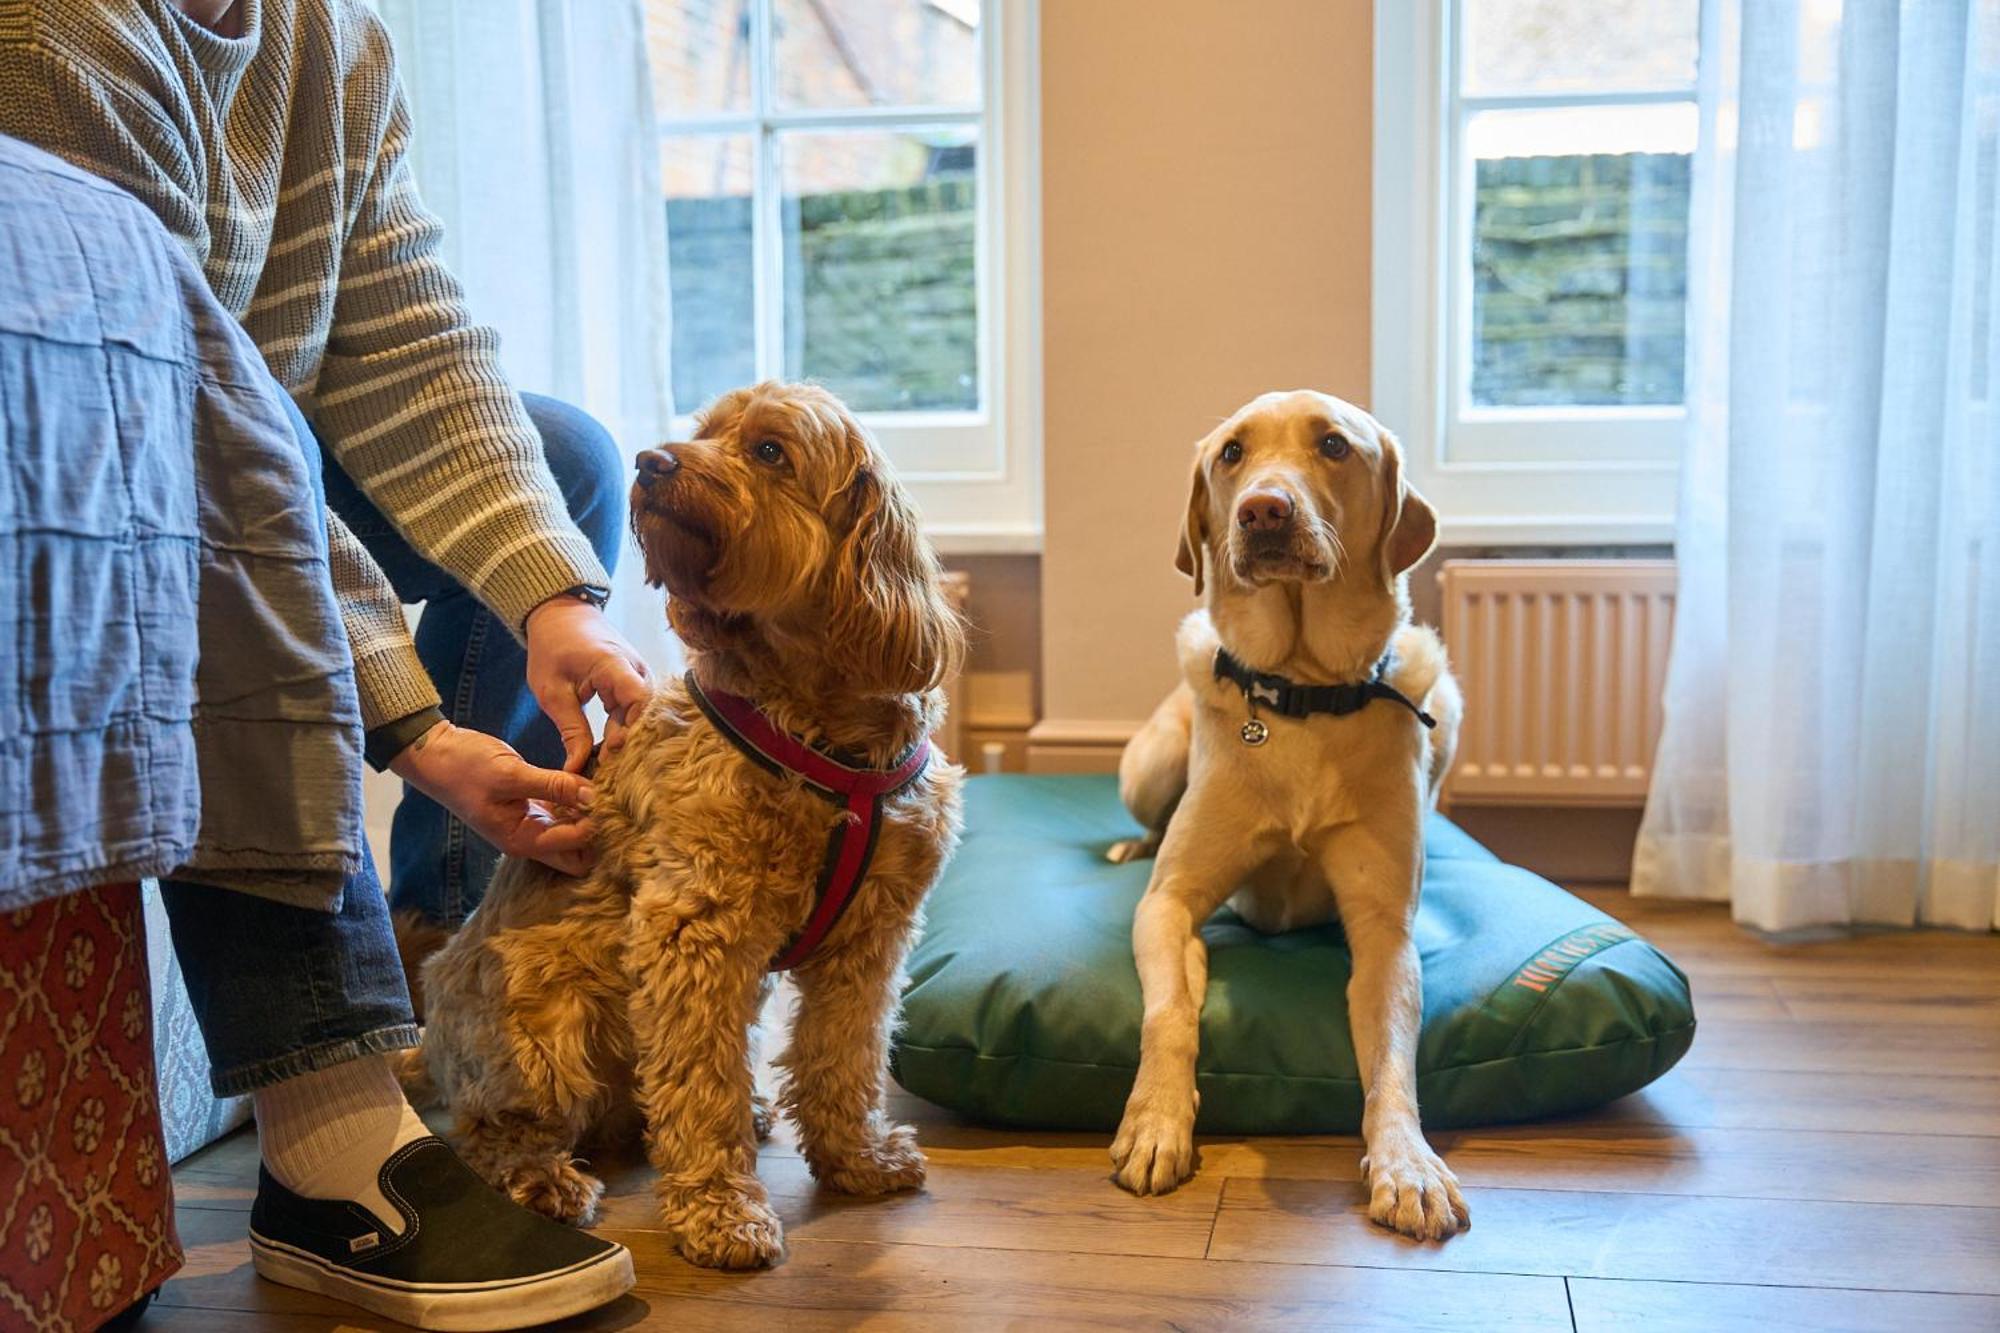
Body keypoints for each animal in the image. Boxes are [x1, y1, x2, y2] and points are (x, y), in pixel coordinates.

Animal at [418, 378, 964, 1264]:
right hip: (540, 1026)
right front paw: (721, 1208)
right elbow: (701, 1087)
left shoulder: (869, 938)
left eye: (770, 450)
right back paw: (544, 1175)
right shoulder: (695, 928)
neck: (824, 740)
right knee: (494, 1129)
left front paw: (854, 1156)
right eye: (706, 429)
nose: (651, 460)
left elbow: (842, 1055)